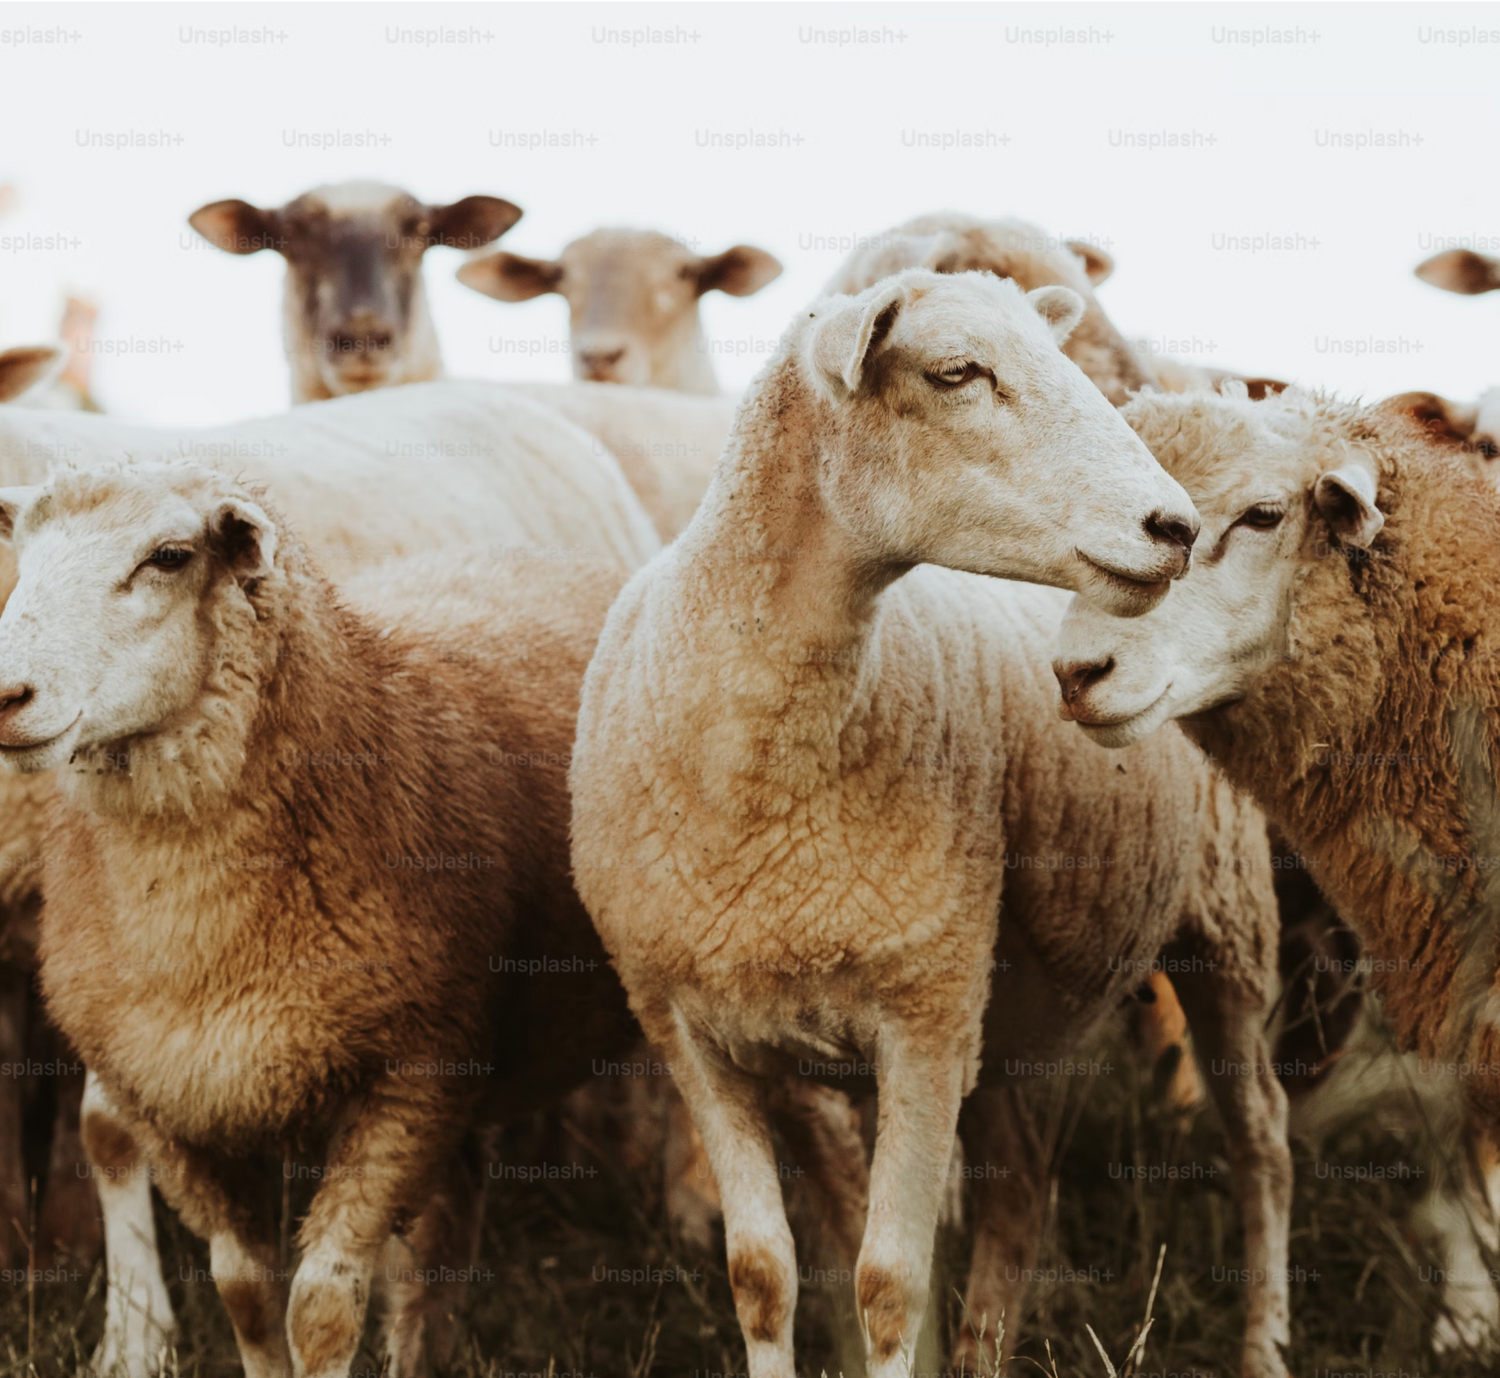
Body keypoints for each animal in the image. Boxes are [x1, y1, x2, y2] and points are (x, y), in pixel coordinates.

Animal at [0, 380, 660, 1376]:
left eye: (169, 557)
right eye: (21, 555)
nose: (5, 694)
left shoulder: (406, 1073)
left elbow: (319, 1306)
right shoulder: (178, 1092)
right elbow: (244, 1292)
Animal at [567, 269, 1295, 1378]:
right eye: (957, 373)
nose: (1172, 526)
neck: (758, 782)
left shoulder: (923, 1014)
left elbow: (887, 1284)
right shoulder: (691, 1029)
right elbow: (762, 1274)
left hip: (1228, 927)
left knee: (1263, 1144)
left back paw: (1265, 1342)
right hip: (1006, 1008)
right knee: (1021, 1187)